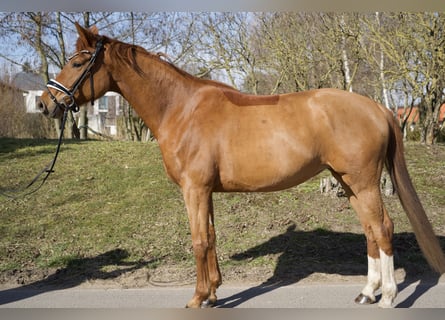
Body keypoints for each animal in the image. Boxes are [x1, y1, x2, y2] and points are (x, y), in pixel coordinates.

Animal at [39, 23, 444, 308]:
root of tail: (377, 107)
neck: (180, 108)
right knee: (370, 231)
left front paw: (197, 298)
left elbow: (199, 240)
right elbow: (212, 237)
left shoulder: (194, 190)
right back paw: (367, 292)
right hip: (348, 183)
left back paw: (388, 296)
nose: (45, 103)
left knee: (383, 228)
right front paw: (214, 293)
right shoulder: (206, 191)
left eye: (78, 62)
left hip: (363, 182)